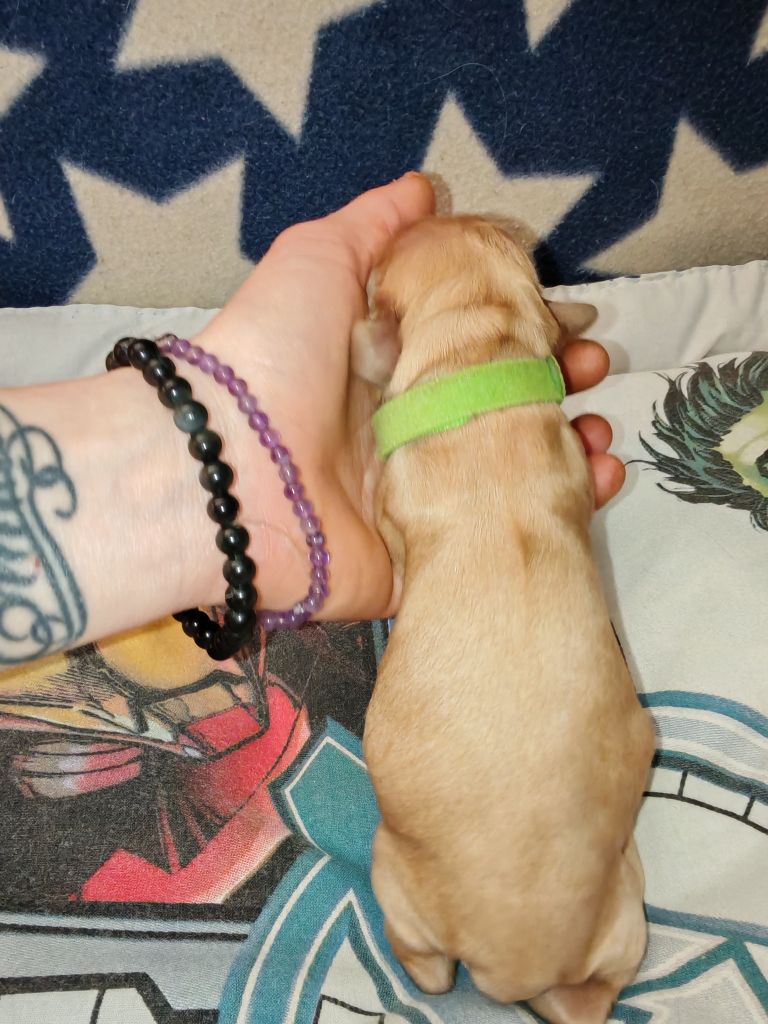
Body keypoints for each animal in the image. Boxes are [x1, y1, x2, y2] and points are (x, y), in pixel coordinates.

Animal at [352, 216, 655, 1024]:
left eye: (377, 270)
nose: (422, 207)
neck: (481, 360)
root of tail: (519, 968)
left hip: (394, 873)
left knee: (426, 968)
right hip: (627, 909)